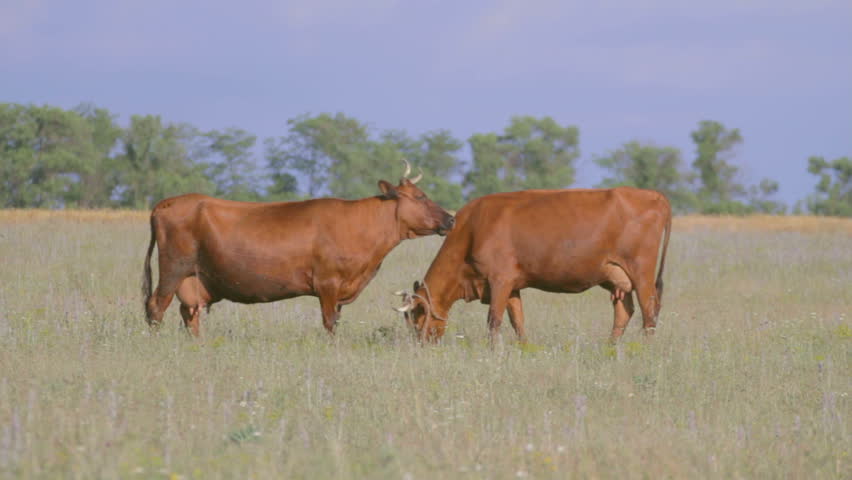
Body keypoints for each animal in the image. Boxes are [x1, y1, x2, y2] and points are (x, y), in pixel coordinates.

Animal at [142, 161, 454, 337]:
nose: (451, 219)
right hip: (172, 269)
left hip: (193, 279)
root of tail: (167, 202)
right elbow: (330, 323)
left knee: (189, 313)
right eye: (420, 196)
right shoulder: (328, 284)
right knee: (156, 307)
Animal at [395, 187, 672, 343]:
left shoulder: (499, 280)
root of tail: (654, 195)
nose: (422, 345)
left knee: (649, 312)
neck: (472, 229)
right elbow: (517, 320)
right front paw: (524, 348)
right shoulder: (512, 286)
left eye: (417, 319)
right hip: (615, 277)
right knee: (625, 311)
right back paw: (610, 347)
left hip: (641, 273)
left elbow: (494, 321)